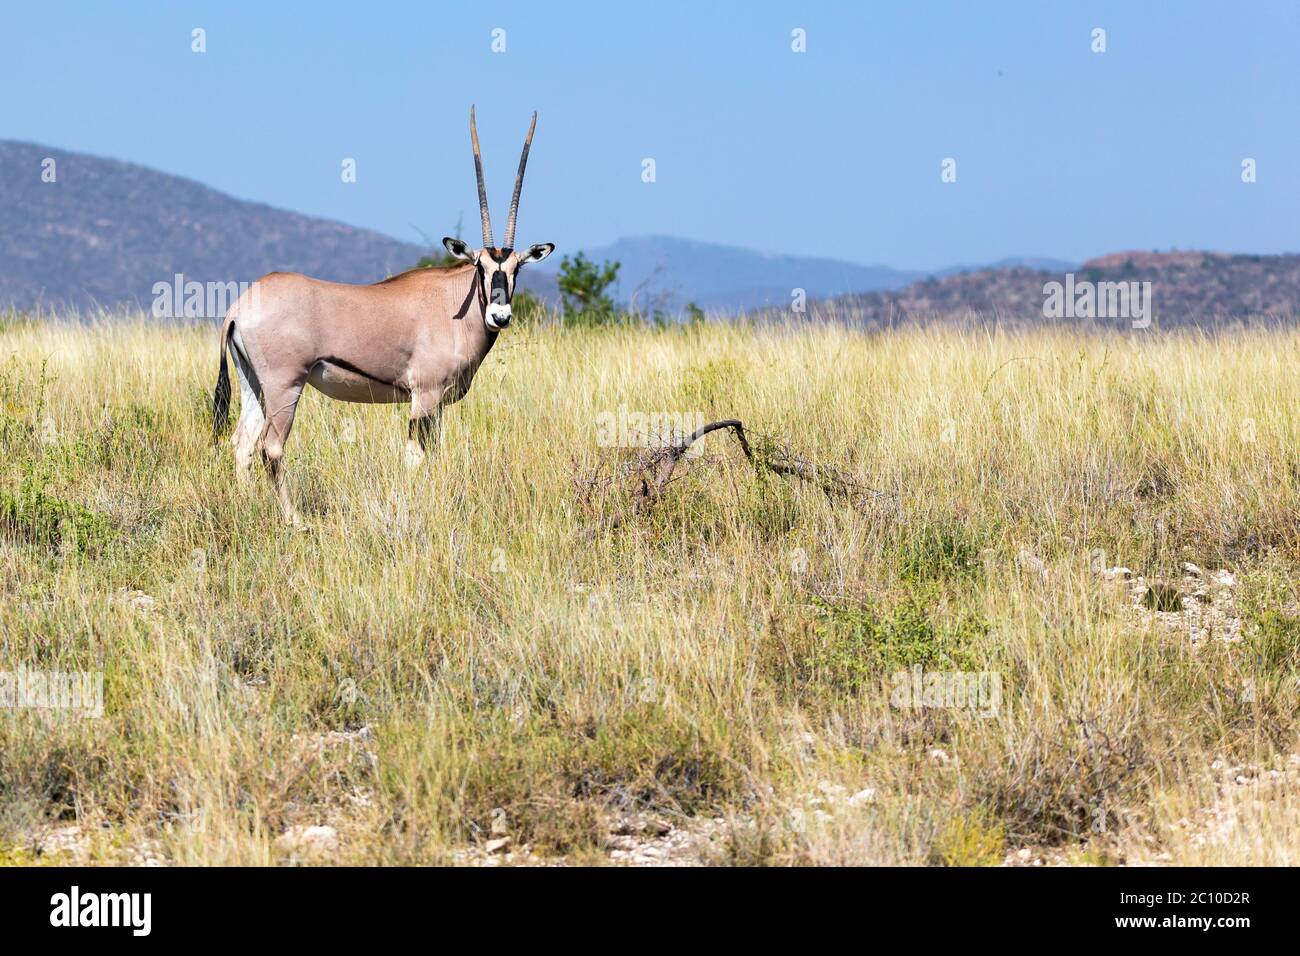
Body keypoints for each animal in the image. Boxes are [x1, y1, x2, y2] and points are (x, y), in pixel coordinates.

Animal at [209, 108, 553, 528]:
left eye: (516, 267)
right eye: (480, 267)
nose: (500, 315)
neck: (455, 304)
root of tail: (240, 307)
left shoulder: (436, 405)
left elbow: (434, 456)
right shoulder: (424, 397)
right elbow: (414, 459)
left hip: (253, 384)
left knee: (241, 444)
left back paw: (247, 508)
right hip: (283, 386)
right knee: (270, 448)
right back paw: (295, 520)